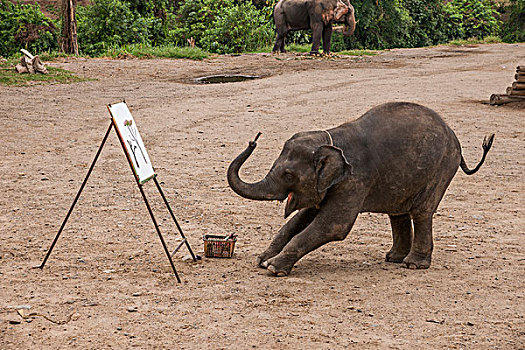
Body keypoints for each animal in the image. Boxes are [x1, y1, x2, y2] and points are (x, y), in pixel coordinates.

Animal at [227, 102, 494, 278]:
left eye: (288, 175)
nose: (254, 139)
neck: (331, 139)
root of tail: (454, 138)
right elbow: (302, 219)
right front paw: (262, 260)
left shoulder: (355, 180)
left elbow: (333, 224)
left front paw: (274, 267)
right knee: (398, 212)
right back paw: (393, 258)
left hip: (440, 169)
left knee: (421, 212)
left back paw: (412, 264)